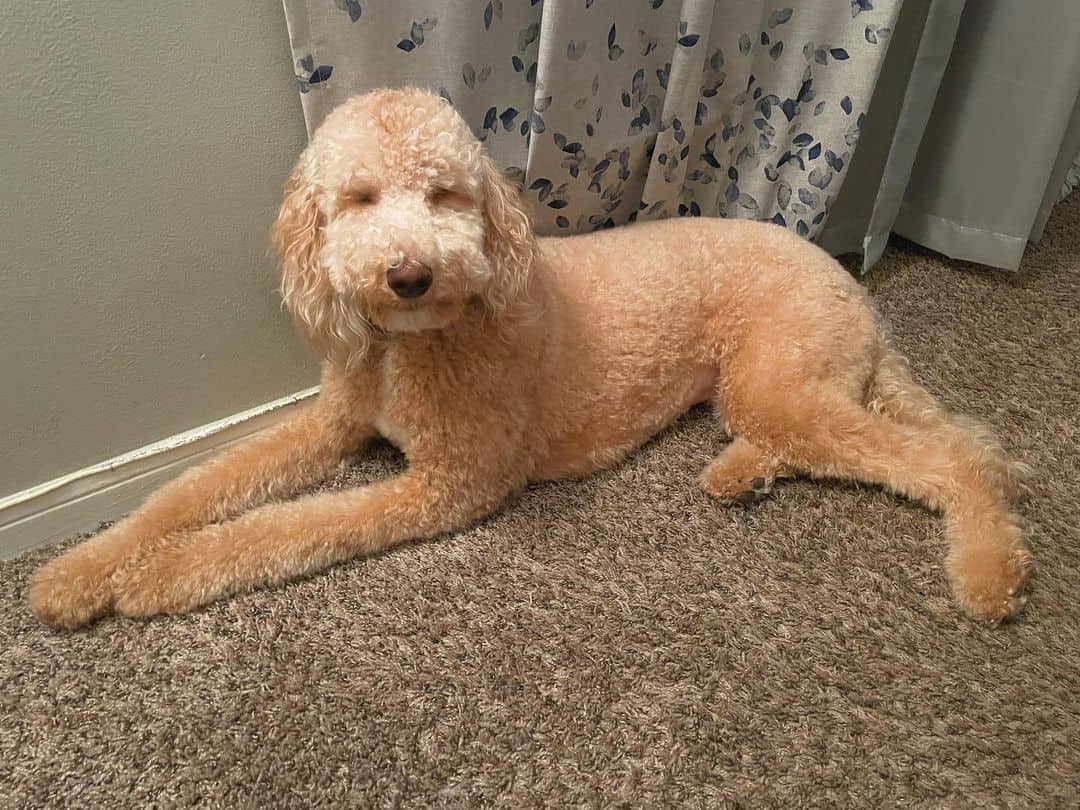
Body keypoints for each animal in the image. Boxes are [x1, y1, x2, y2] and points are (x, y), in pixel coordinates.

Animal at [29, 91, 1032, 630]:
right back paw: (737, 474)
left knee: (956, 458)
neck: (411, 347)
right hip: (769, 386)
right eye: (358, 198)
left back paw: (990, 571)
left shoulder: (448, 483)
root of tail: (848, 283)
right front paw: (85, 571)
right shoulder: (334, 422)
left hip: (783, 375)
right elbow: (190, 491)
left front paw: (154, 578)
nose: (408, 273)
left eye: (446, 193)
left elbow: (285, 528)